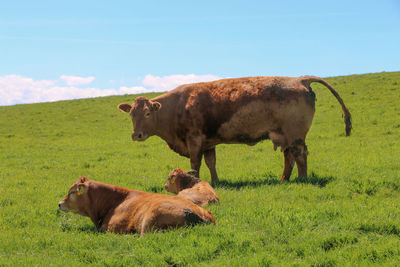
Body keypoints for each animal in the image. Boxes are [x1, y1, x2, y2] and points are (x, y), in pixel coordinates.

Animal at [118, 76, 350, 183]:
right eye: (131, 115)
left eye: (147, 113)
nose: (136, 135)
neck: (178, 106)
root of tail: (300, 79)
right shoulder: (208, 142)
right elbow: (211, 162)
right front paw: (215, 181)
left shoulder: (194, 141)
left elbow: (195, 164)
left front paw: (196, 181)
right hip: (284, 136)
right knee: (289, 157)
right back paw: (284, 179)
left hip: (295, 136)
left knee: (300, 155)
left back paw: (302, 179)